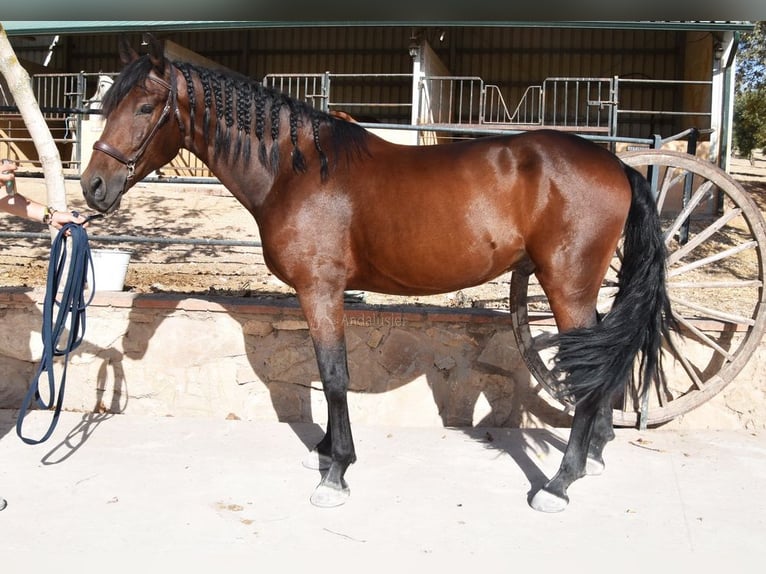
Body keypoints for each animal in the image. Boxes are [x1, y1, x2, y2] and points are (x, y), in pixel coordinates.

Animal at [81, 35, 671, 513]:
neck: (294, 171)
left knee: (590, 372)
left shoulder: (321, 291)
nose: (93, 187)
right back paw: (594, 456)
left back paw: (559, 484)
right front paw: (323, 453)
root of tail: (617, 164)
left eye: (147, 106)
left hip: (566, 286)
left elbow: (334, 375)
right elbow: (326, 374)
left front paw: (336, 471)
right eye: (107, 104)